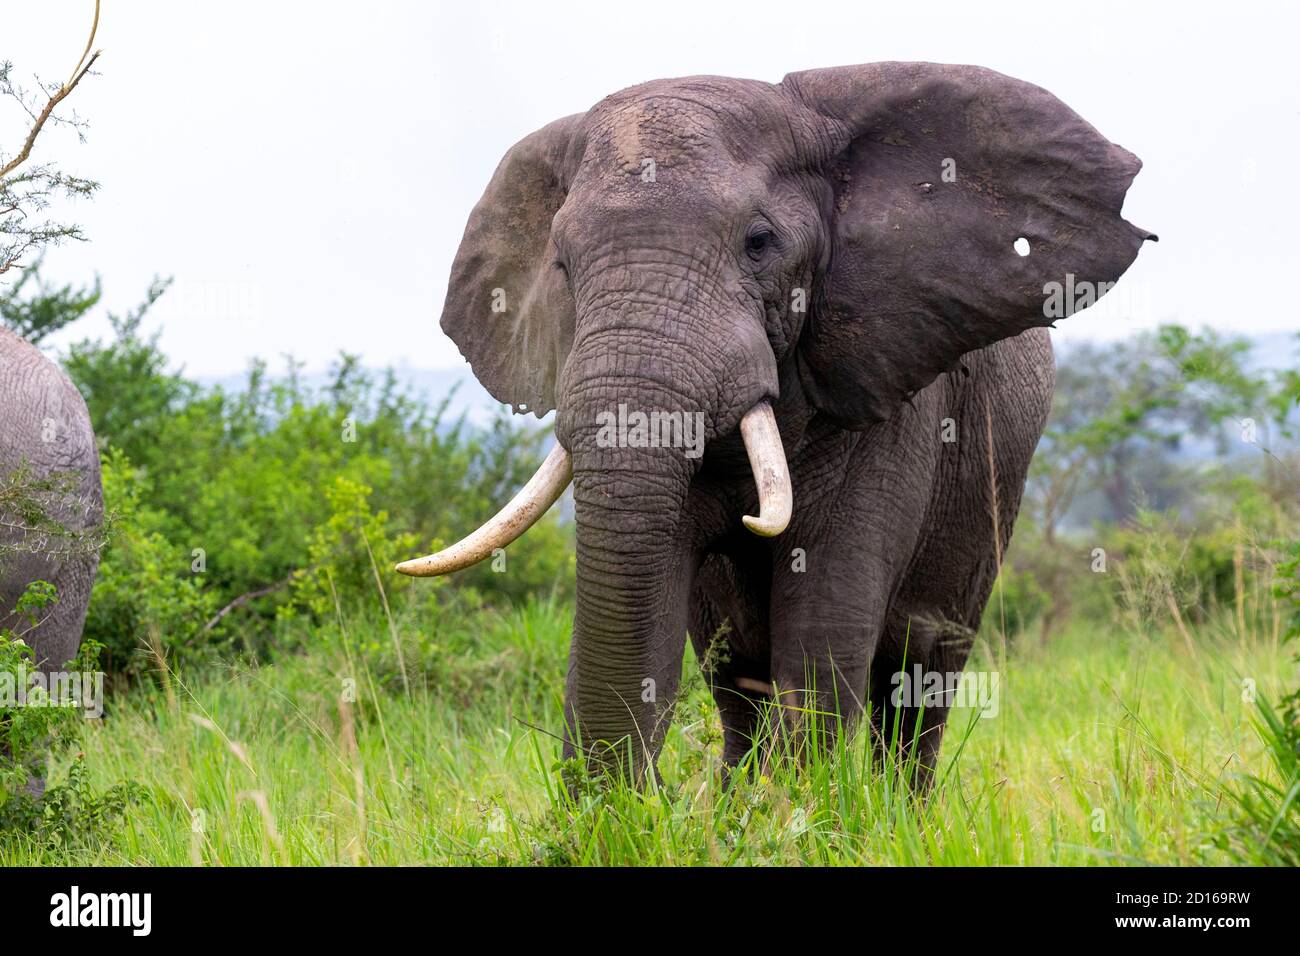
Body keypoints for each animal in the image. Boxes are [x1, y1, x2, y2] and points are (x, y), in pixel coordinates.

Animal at [397, 61, 1159, 785]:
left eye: (759, 242)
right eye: (560, 263)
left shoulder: (889, 388)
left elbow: (822, 633)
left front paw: (806, 812)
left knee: (922, 676)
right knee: (734, 677)